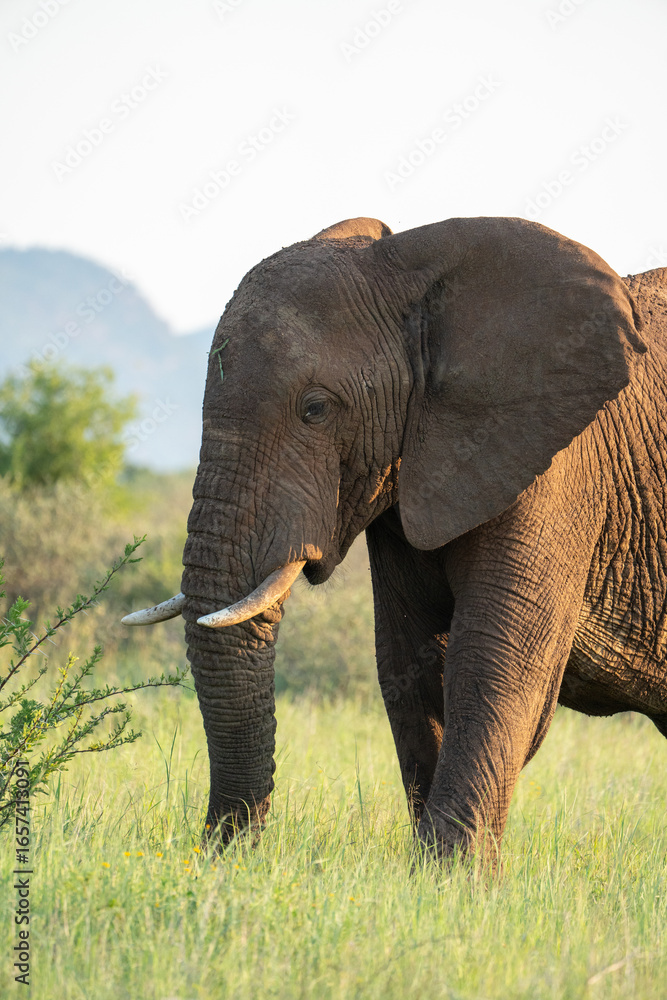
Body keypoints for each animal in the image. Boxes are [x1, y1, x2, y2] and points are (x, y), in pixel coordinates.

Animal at [123, 215, 667, 862]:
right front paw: (433, 871)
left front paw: (451, 874)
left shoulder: (560, 470)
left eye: (316, 409)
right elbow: (409, 661)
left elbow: (496, 658)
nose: (223, 851)